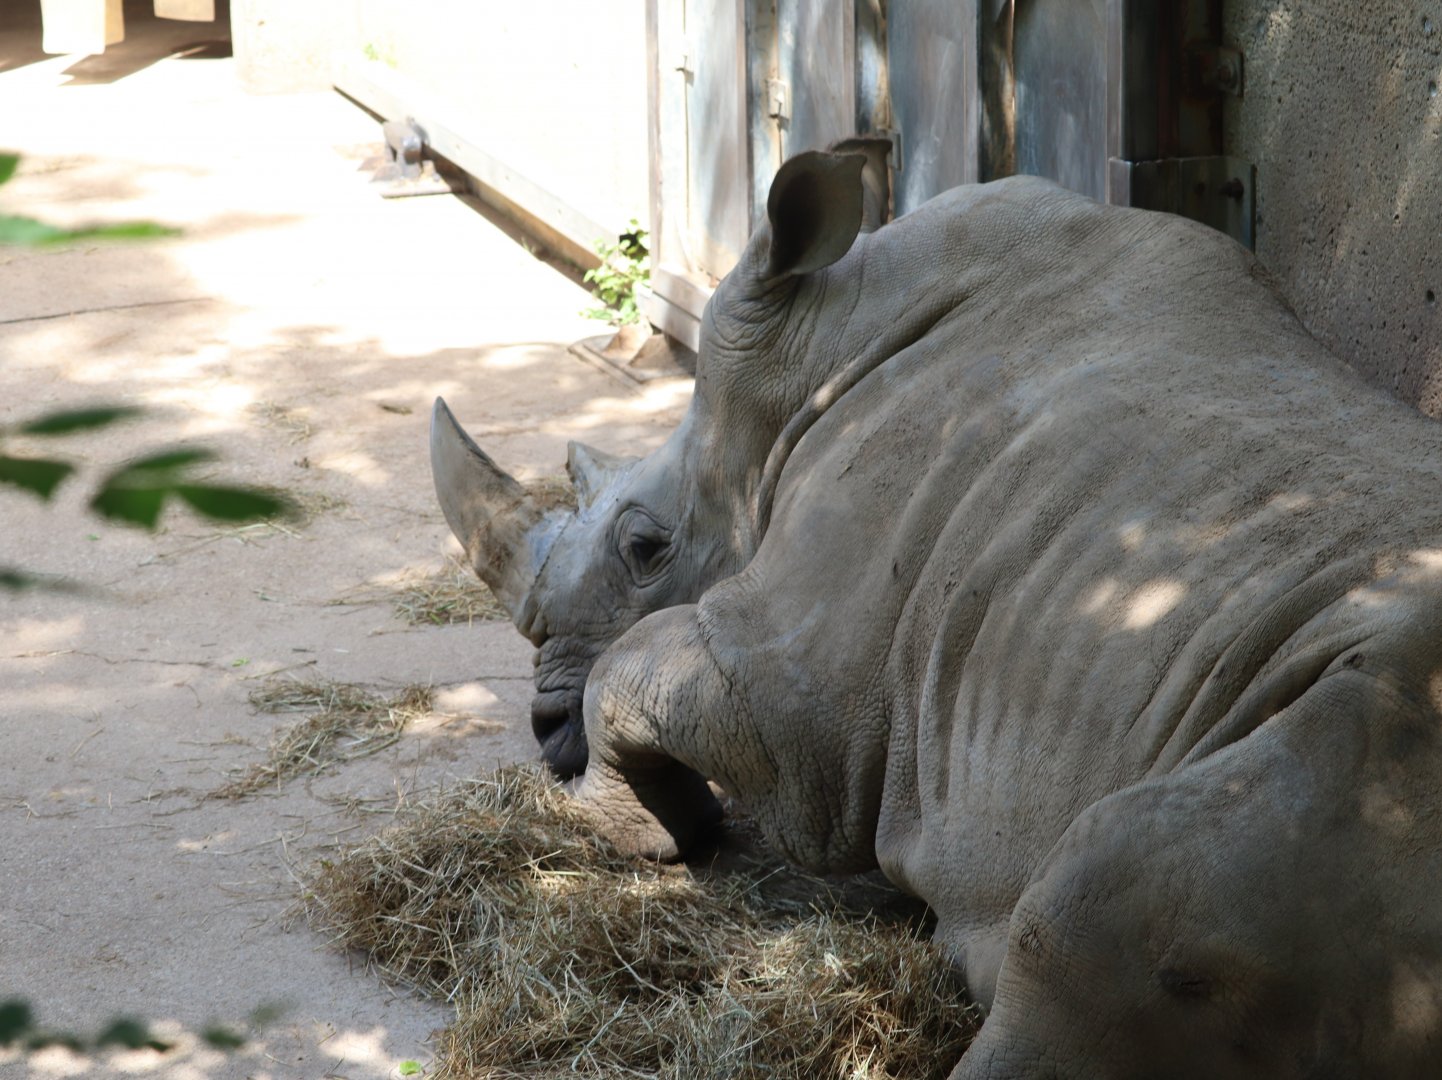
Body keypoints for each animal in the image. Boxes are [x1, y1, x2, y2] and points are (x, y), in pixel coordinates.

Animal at [436, 149, 1442, 1076]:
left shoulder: (800, 698)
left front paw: (639, 829)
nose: (545, 731)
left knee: (1095, 903)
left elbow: (643, 669)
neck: (821, 343)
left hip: (1378, 729)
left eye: (645, 549)